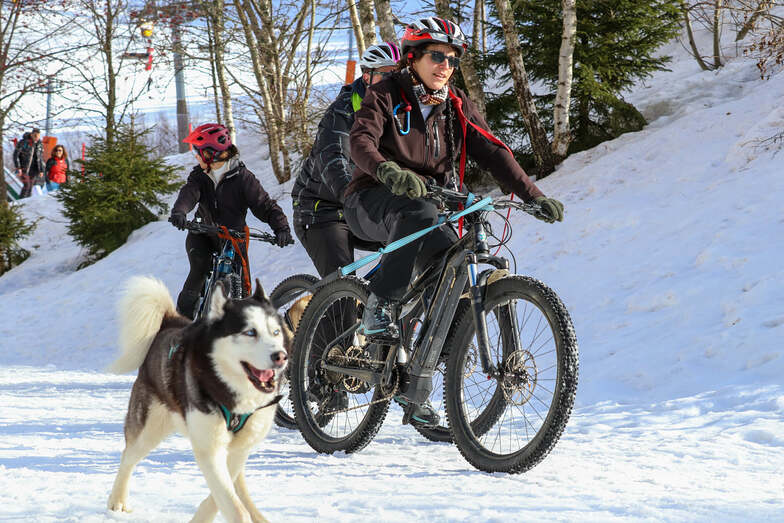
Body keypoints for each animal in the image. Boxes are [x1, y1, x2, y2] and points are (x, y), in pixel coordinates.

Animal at [108, 276, 290, 520]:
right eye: (250, 332)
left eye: (276, 332)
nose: (281, 356)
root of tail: (170, 322)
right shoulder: (210, 447)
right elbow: (230, 503)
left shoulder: (236, 448)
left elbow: (221, 496)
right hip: (149, 429)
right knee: (128, 456)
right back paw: (117, 500)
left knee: (238, 481)